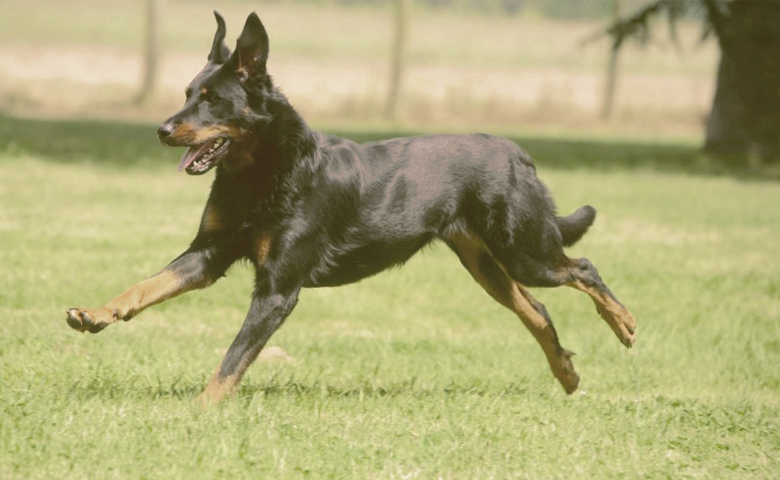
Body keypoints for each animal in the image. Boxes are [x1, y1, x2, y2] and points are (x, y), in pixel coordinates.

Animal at [67, 12, 636, 404]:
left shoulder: (277, 290)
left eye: (211, 100)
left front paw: (201, 410)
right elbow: (145, 286)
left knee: (583, 268)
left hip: (524, 250)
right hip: (486, 264)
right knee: (537, 310)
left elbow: (232, 359)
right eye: (186, 93)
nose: (161, 129)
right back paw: (567, 373)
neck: (262, 173)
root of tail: (519, 153)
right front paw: (95, 313)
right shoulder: (208, 254)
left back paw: (624, 323)